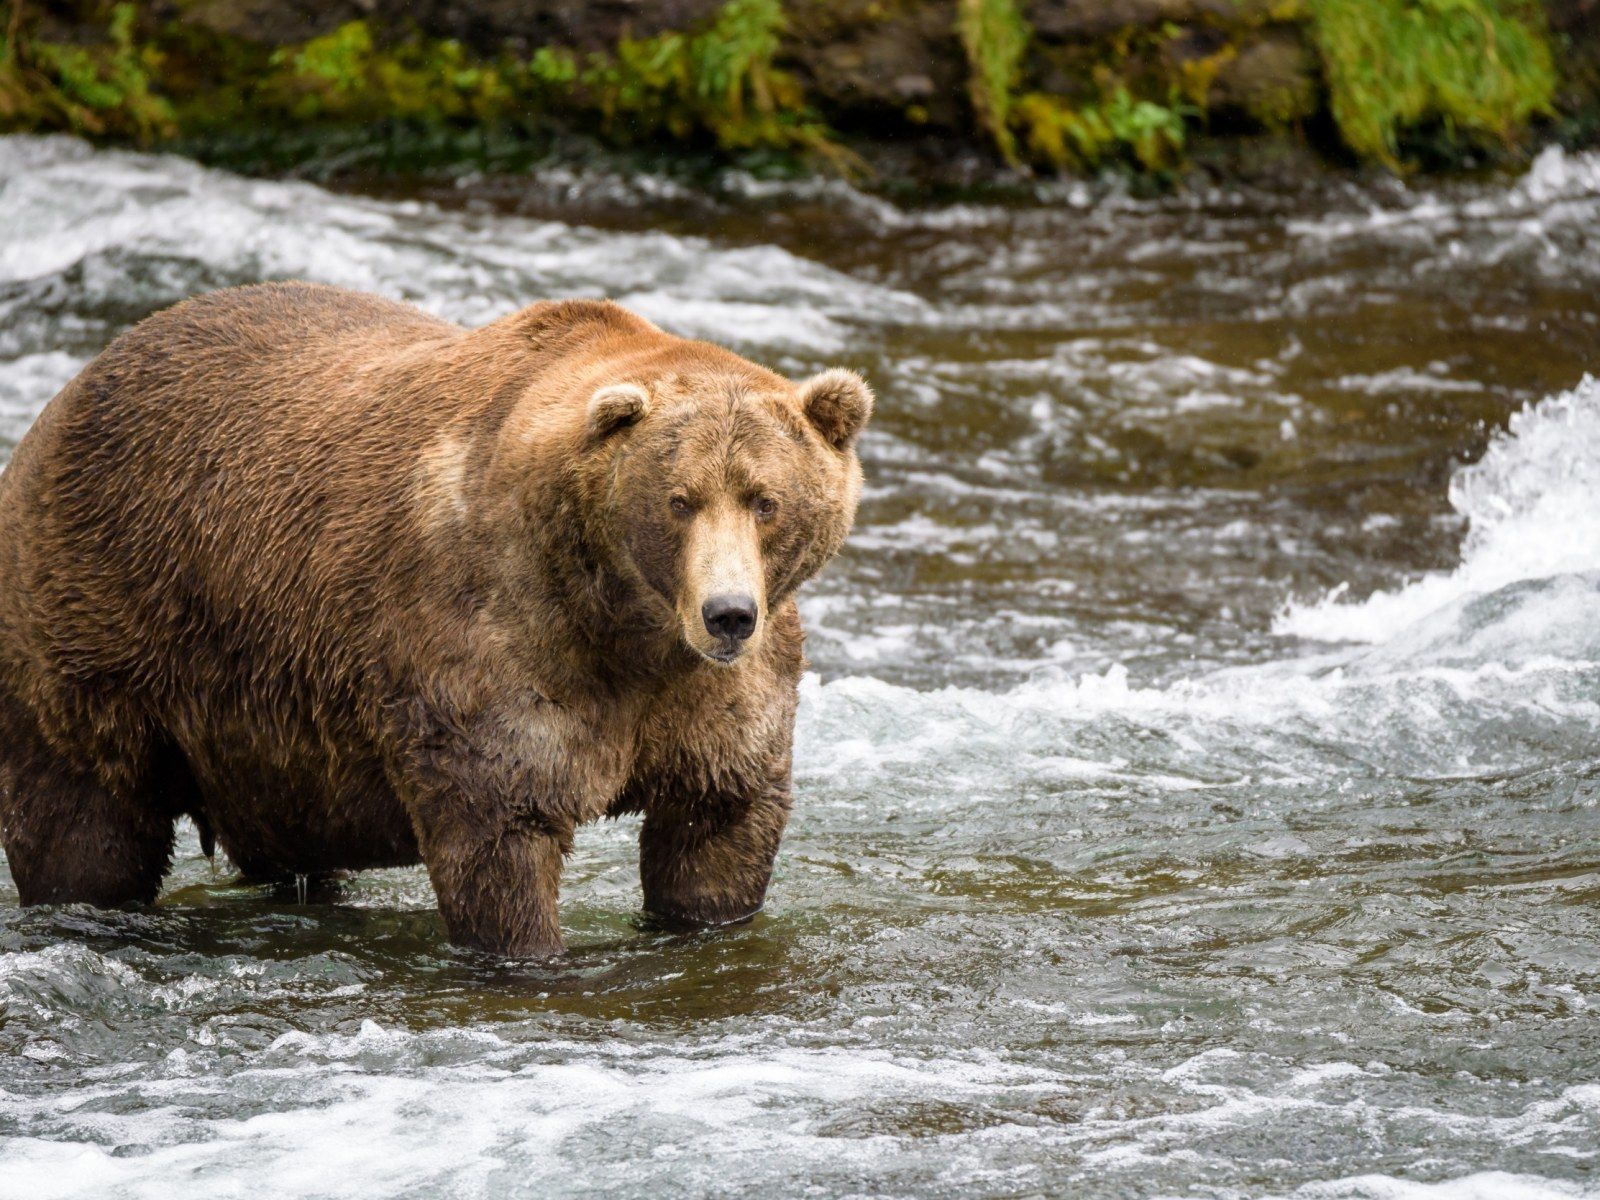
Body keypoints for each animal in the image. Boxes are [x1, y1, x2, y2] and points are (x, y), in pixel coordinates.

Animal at [0, 282, 871, 956]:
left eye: (765, 499)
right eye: (678, 500)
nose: (729, 615)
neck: (627, 626)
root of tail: (66, 396)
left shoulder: (716, 697)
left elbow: (719, 825)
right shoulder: (496, 636)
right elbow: (499, 829)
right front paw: (527, 950)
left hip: (259, 730)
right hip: (98, 622)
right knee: (84, 821)